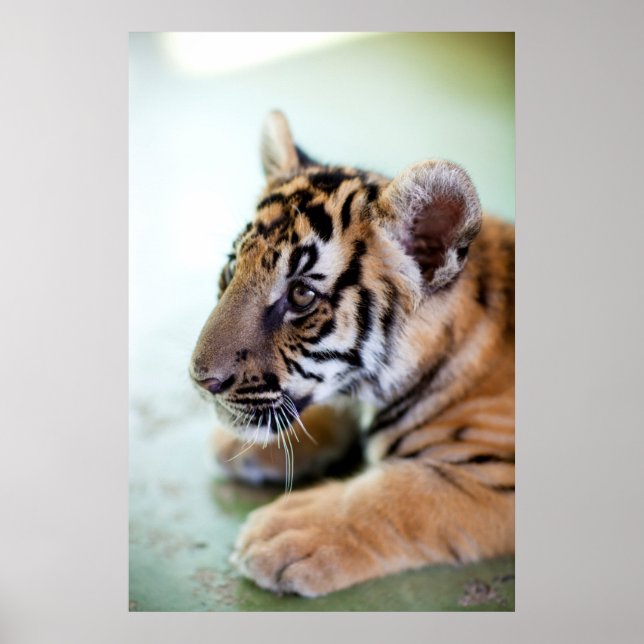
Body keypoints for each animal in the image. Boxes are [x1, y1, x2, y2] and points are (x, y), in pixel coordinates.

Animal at [190, 111, 515, 597]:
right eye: (231, 269)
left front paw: (284, 532)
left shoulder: (494, 475)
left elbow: (403, 494)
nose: (200, 380)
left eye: (301, 295)